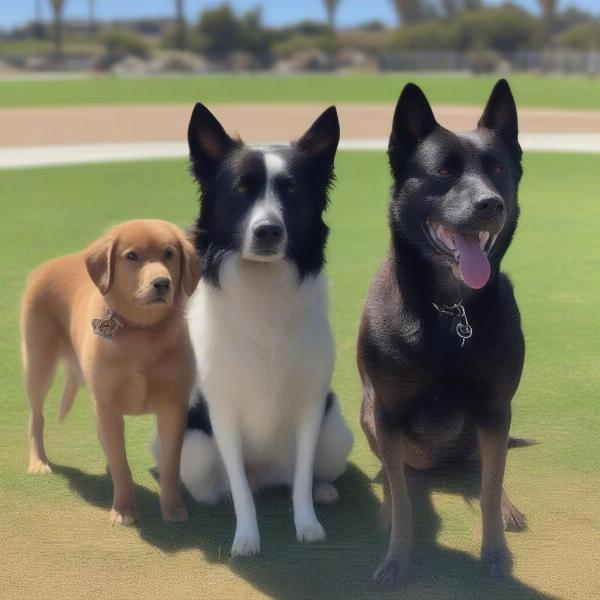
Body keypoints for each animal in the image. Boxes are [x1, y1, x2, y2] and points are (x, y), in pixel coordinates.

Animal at [21, 219, 199, 524]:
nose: (162, 283)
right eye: (132, 256)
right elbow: (121, 465)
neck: (141, 332)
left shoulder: (174, 407)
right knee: (36, 417)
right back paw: (39, 461)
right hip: (38, 365)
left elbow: (171, 465)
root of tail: (48, 265)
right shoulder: (108, 406)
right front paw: (123, 510)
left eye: (169, 254)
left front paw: (173, 508)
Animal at [358, 81, 528, 584]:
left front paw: (494, 552)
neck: (450, 310)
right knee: (397, 477)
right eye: (445, 171)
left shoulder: (495, 408)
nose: (490, 204)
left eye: (498, 170)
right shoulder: (387, 413)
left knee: (487, 471)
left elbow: (489, 489)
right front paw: (396, 558)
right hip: (368, 415)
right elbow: (404, 505)